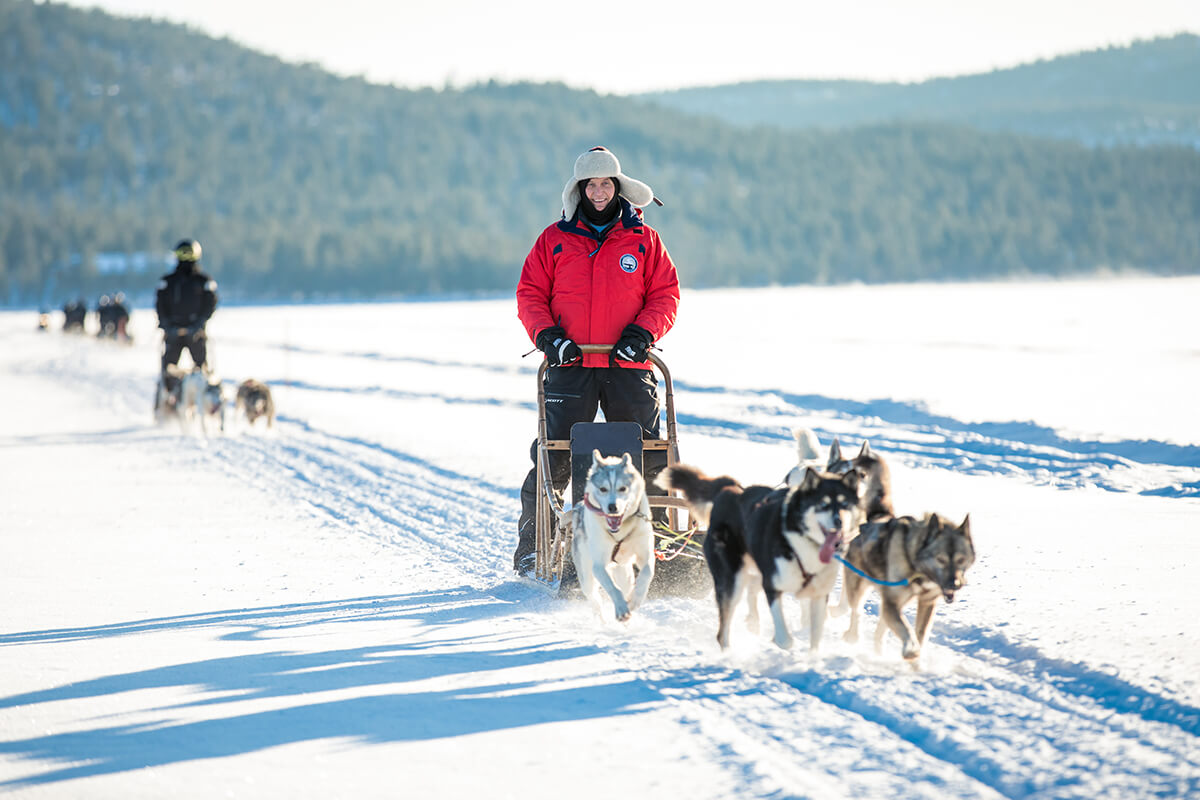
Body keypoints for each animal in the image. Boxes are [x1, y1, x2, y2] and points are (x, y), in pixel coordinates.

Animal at [564, 453, 657, 623]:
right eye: (603, 489)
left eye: (623, 488)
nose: (613, 507)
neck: (619, 533)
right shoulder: (599, 566)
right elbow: (613, 589)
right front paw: (621, 608)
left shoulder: (645, 554)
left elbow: (647, 573)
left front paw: (635, 599)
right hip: (587, 577)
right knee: (596, 601)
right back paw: (602, 622)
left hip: (625, 574)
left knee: (626, 587)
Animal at [662, 465, 859, 652]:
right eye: (823, 504)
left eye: (845, 504)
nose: (839, 522)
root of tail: (730, 489)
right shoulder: (772, 585)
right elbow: (784, 638)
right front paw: (781, 640)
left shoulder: (818, 593)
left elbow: (816, 639)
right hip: (732, 580)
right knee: (723, 630)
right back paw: (729, 656)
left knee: (751, 590)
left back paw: (753, 621)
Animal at [835, 515, 974, 662]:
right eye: (940, 559)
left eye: (961, 560)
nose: (955, 584)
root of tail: (859, 532)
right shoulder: (892, 602)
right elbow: (907, 630)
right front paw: (912, 651)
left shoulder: (927, 601)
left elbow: (920, 633)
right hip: (859, 589)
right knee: (856, 611)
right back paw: (853, 636)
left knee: (879, 631)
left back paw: (879, 655)